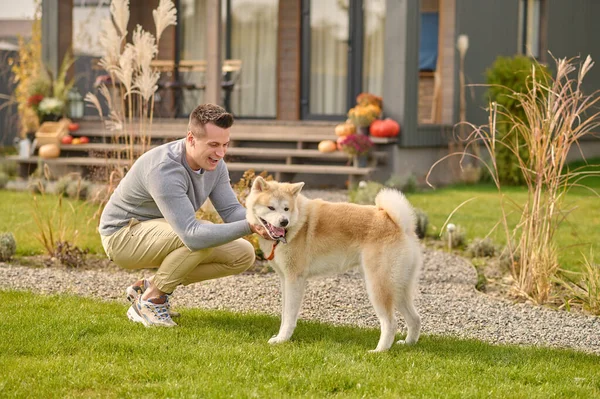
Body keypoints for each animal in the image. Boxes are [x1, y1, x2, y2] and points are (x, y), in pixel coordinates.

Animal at [244, 178, 422, 354]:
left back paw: (380, 350)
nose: (283, 221)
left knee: (390, 323)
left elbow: (289, 316)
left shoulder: (295, 280)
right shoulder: (285, 279)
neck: (296, 223)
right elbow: (284, 314)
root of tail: (400, 225)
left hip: (378, 286)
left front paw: (282, 340)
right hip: (398, 288)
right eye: (271, 207)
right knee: (415, 319)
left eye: (286, 208)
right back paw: (408, 344)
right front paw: (280, 336)